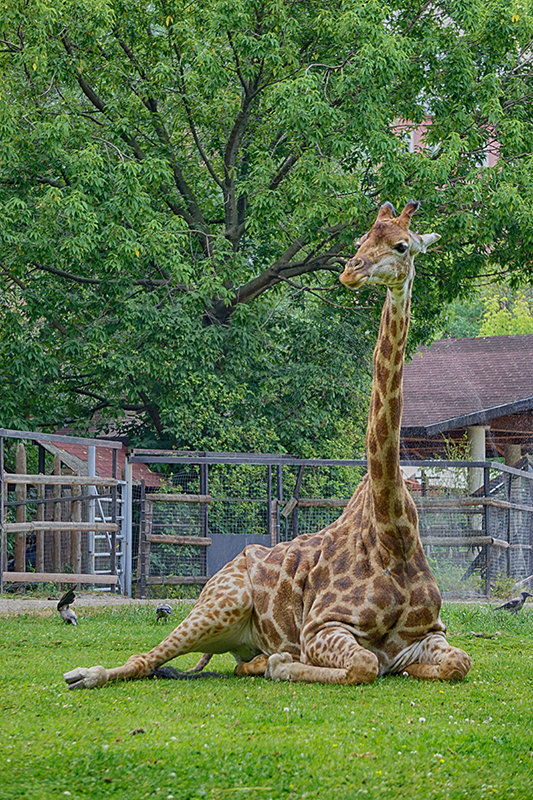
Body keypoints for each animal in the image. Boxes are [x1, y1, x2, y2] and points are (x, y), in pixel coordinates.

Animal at [63, 203, 470, 692]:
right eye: (360, 240)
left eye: (401, 245)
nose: (351, 271)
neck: (395, 538)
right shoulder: (321, 626)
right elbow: (364, 665)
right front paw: (284, 664)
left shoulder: (429, 633)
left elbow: (457, 662)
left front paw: (410, 667)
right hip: (220, 604)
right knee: (144, 658)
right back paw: (84, 674)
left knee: (229, 661)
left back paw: (254, 661)